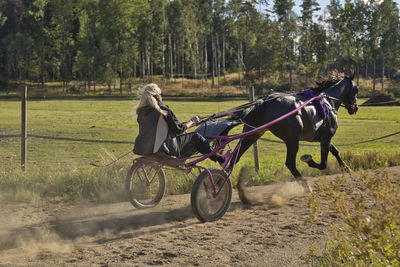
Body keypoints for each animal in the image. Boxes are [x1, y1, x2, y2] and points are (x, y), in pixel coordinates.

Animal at [231, 72, 360, 192]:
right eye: (355, 89)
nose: (355, 108)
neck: (328, 101)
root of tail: (264, 102)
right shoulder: (327, 137)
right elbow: (323, 163)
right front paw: (309, 160)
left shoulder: (324, 138)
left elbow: (335, 151)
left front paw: (346, 168)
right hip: (292, 140)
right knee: (290, 163)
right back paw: (306, 185)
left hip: (252, 135)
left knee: (235, 157)